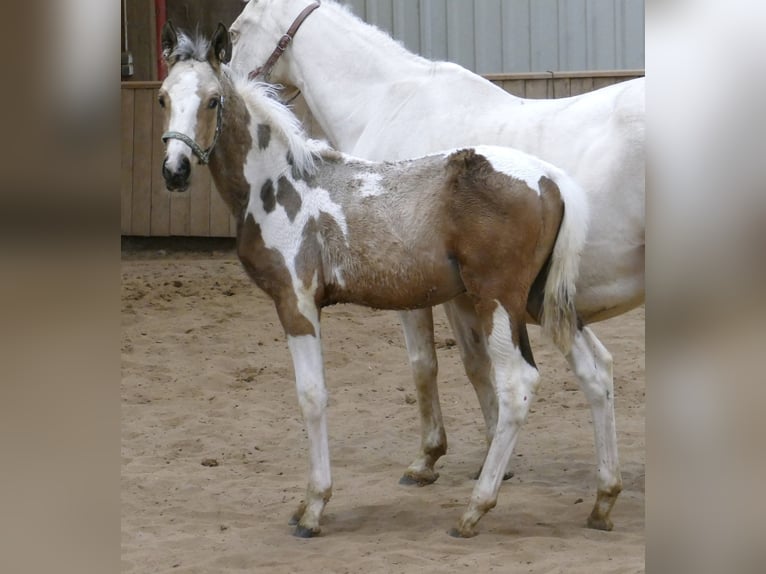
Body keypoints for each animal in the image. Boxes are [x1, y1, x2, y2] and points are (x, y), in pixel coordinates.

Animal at [159, 22, 589, 538]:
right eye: (163, 98)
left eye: (212, 100)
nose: (175, 170)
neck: (282, 184)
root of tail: (551, 178)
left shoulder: (296, 303)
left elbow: (312, 398)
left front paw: (314, 507)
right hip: (538, 302)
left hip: (498, 303)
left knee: (518, 385)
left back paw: (474, 510)